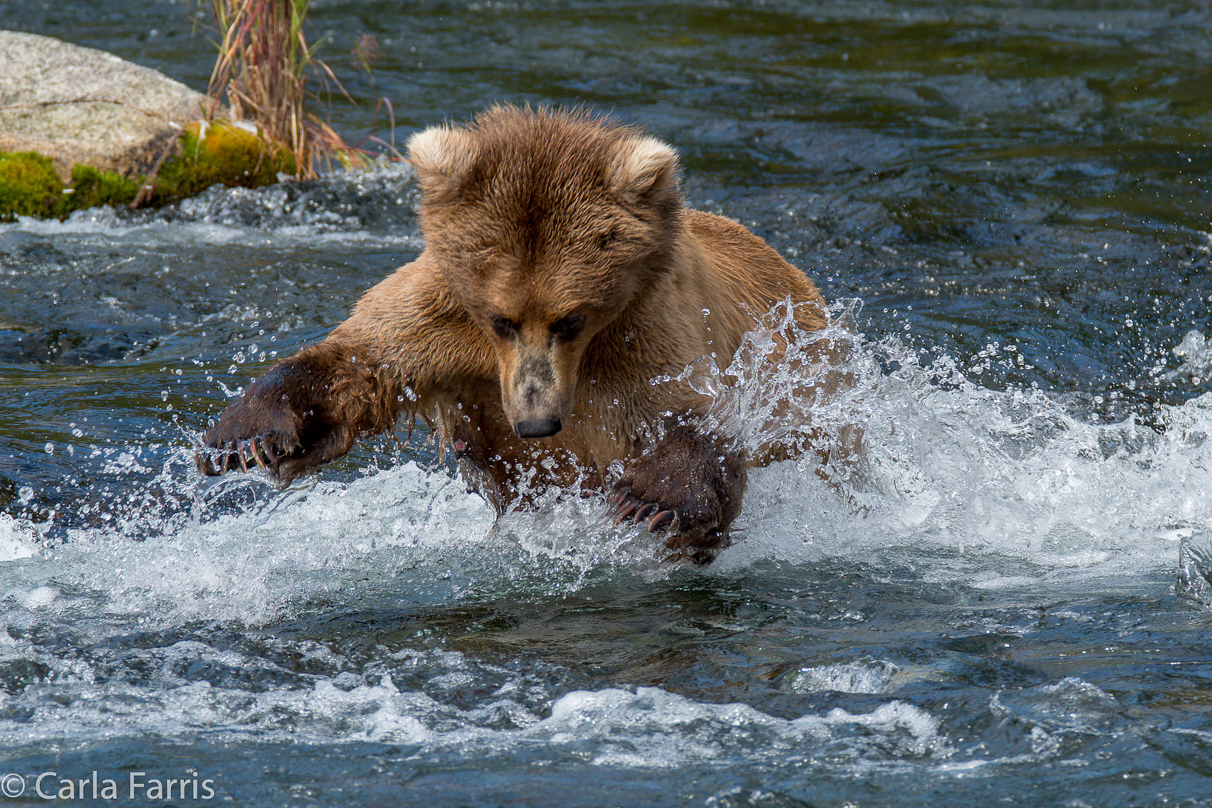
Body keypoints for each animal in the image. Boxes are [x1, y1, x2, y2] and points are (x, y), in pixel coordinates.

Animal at [198, 105, 838, 562]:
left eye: (571, 318)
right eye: (500, 318)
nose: (536, 422)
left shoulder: (643, 331)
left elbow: (691, 414)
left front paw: (649, 498)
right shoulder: (441, 322)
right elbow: (357, 364)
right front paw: (243, 439)